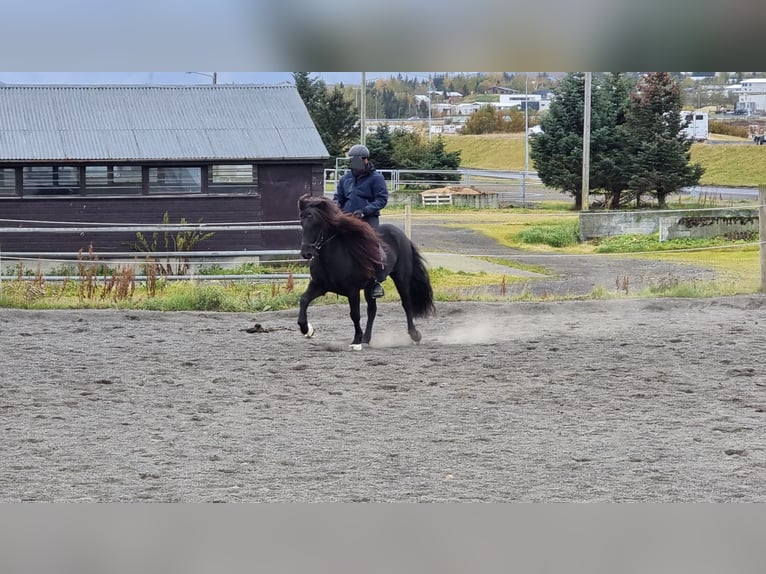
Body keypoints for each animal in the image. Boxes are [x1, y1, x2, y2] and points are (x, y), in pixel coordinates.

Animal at [297, 194, 435, 349]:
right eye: (302, 223)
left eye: (317, 223)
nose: (306, 253)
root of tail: (401, 235)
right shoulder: (319, 286)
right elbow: (303, 300)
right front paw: (306, 329)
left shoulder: (352, 290)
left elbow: (355, 314)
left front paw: (356, 339)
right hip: (370, 287)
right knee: (372, 310)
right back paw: (367, 339)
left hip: (401, 278)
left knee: (406, 304)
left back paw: (414, 335)